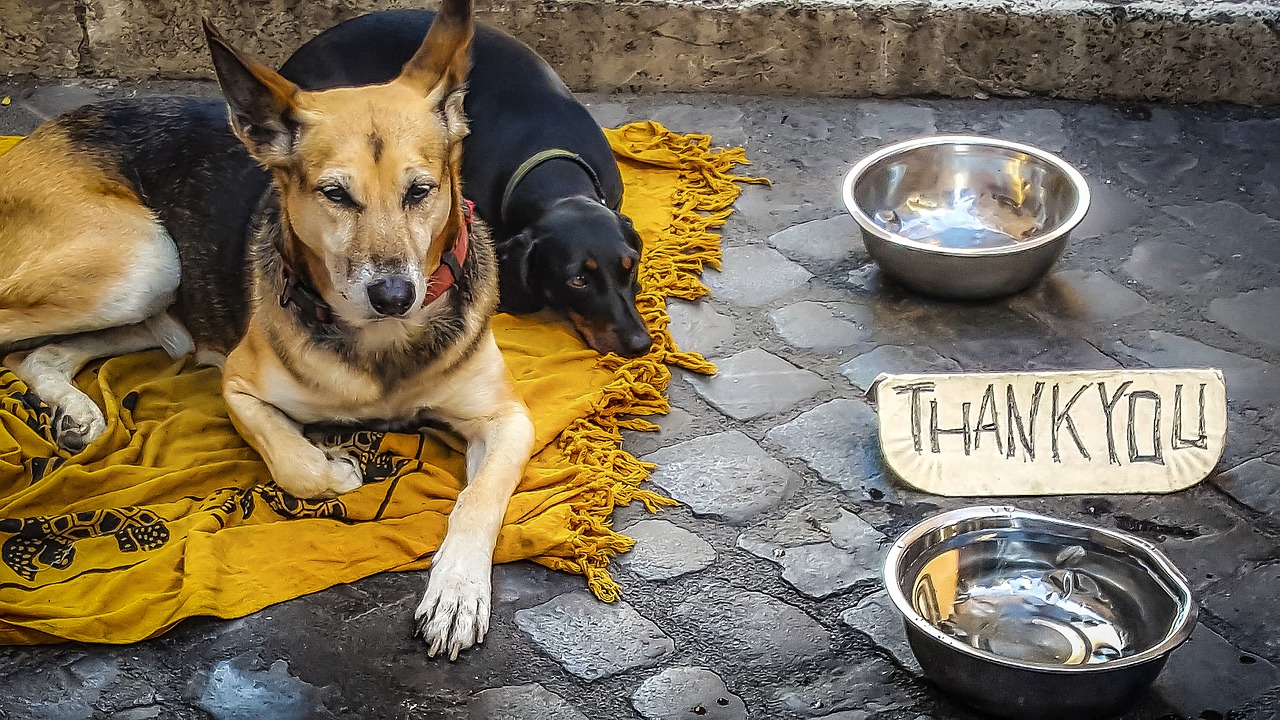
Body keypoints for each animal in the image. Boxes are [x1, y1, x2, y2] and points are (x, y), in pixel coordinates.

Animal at [0, 0, 529, 661]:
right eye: (335, 194)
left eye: (419, 191)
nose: (394, 297)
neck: (379, 344)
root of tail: (34, 138)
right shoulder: (239, 387)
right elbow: (293, 462)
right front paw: (334, 466)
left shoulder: (508, 421)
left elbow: (477, 500)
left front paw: (457, 592)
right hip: (143, 260)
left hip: (153, 292)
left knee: (39, 356)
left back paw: (74, 414)